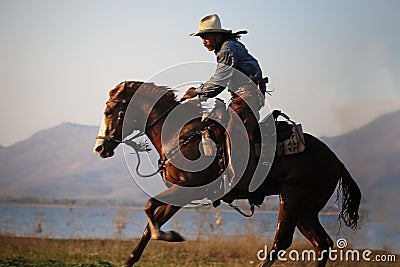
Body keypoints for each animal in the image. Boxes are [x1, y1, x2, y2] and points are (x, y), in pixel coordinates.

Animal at [94, 81, 362, 267]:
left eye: (108, 112)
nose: (100, 148)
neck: (180, 134)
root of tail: (335, 160)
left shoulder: (187, 189)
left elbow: (149, 207)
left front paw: (168, 235)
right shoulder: (180, 192)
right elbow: (150, 224)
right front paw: (135, 255)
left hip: (292, 200)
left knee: (282, 242)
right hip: (306, 211)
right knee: (322, 244)